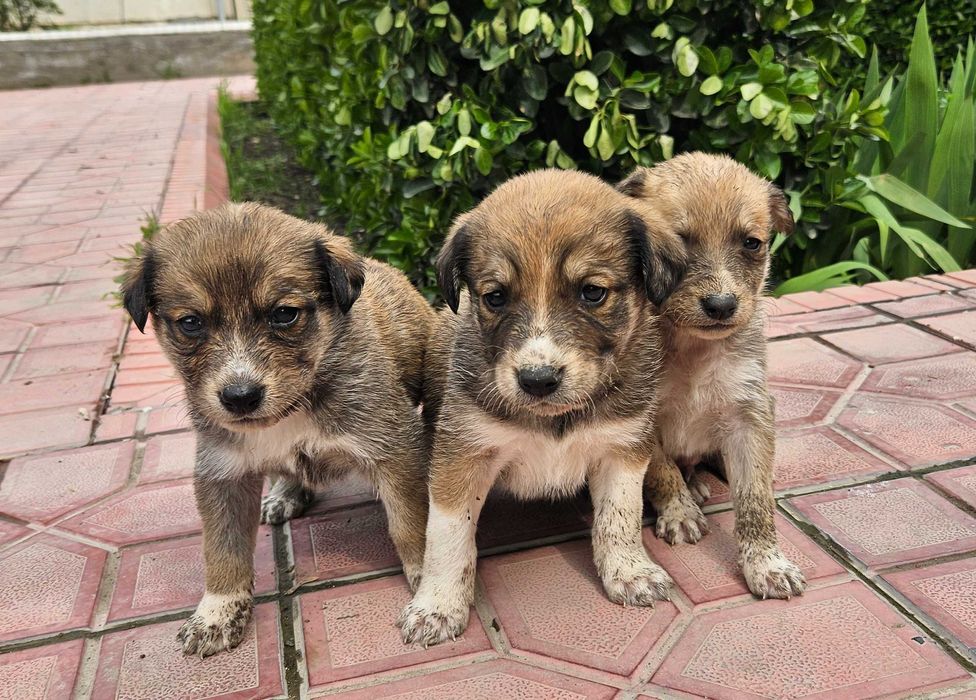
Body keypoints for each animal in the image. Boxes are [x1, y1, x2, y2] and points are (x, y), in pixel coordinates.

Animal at [121, 202, 433, 656]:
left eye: (285, 314)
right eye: (191, 322)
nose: (240, 396)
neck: (296, 406)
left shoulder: (393, 448)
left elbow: (412, 523)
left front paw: (432, 584)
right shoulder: (222, 472)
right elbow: (222, 549)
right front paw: (216, 613)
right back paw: (285, 494)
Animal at [396, 169, 684, 646]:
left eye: (592, 292)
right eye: (495, 297)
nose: (537, 380)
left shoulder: (622, 448)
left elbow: (619, 516)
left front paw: (630, 572)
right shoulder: (461, 457)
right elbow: (447, 537)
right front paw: (436, 606)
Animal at [618, 152, 806, 599]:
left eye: (752, 243)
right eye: (676, 244)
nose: (721, 305)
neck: (695, 350)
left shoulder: (750, 413)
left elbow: (755, 497)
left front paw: (768, 564)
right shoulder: (644, 418)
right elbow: (662, 471)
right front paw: (679, 512)